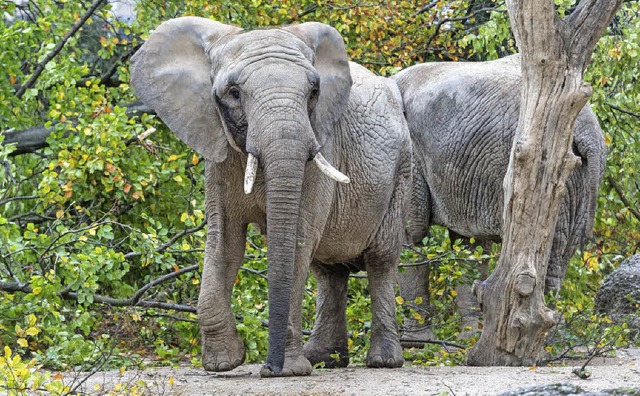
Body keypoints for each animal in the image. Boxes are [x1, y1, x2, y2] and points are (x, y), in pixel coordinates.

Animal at [129, 17, 410, 378]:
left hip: (402, 171)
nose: (269, 366)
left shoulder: (320, 144)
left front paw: (288, 370)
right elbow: (224, 242)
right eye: (234, 92)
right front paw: (223, 363)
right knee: (329, 270)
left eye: (314, 91)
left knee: (381, 260)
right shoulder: (219, 155)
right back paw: (323, 359)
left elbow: (297, 243)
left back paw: (383, 361)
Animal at [392, 54, 608, 342]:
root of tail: (587, 130)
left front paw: (417, 343)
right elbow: (468, 244)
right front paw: (468, 338)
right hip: (577, 180)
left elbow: (410, 235)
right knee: (558, 256)